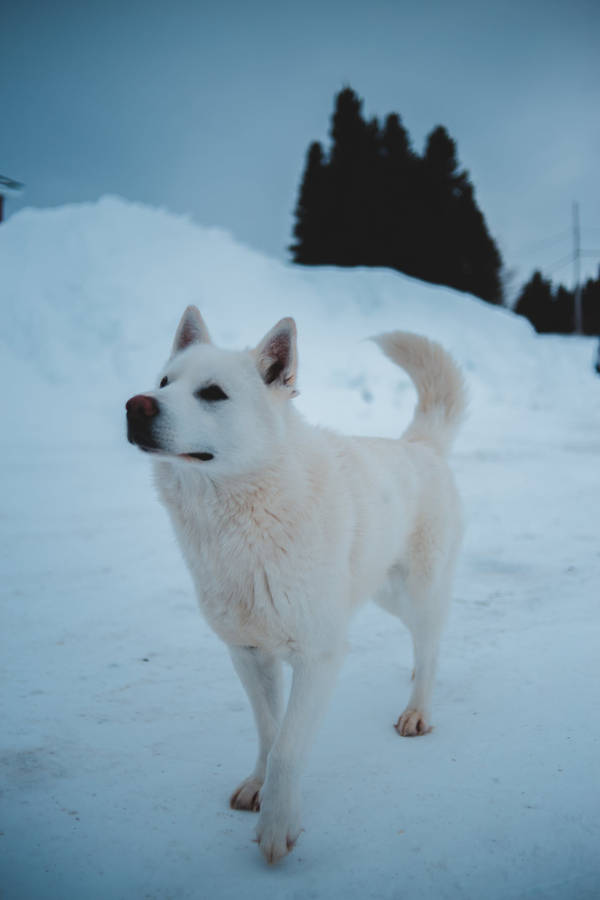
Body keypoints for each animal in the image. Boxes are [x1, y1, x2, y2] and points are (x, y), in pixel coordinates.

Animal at [125, 310, 464, 864]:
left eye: (213, 393)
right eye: (163, 382)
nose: (135, 405)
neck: (243, 520)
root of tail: (420, 445)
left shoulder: (319, 657)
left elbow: (287, 748)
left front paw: (277, 825)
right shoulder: (247, 653)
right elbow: (269, 731)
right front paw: (257, 787)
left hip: (416, 593)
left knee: (433, 643)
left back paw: (418, 709)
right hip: (383, 594)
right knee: (423, 644)